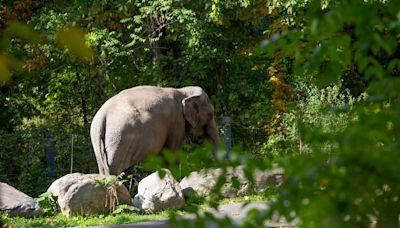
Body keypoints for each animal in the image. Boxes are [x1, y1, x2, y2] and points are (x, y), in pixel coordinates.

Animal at [90, 85, 219, 175]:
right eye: (211, 114)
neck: (183, 91)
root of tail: (102, 115)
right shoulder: (176, 121)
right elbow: (171, 156)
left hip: (97, 139)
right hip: (119, 138)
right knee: (114, 169)